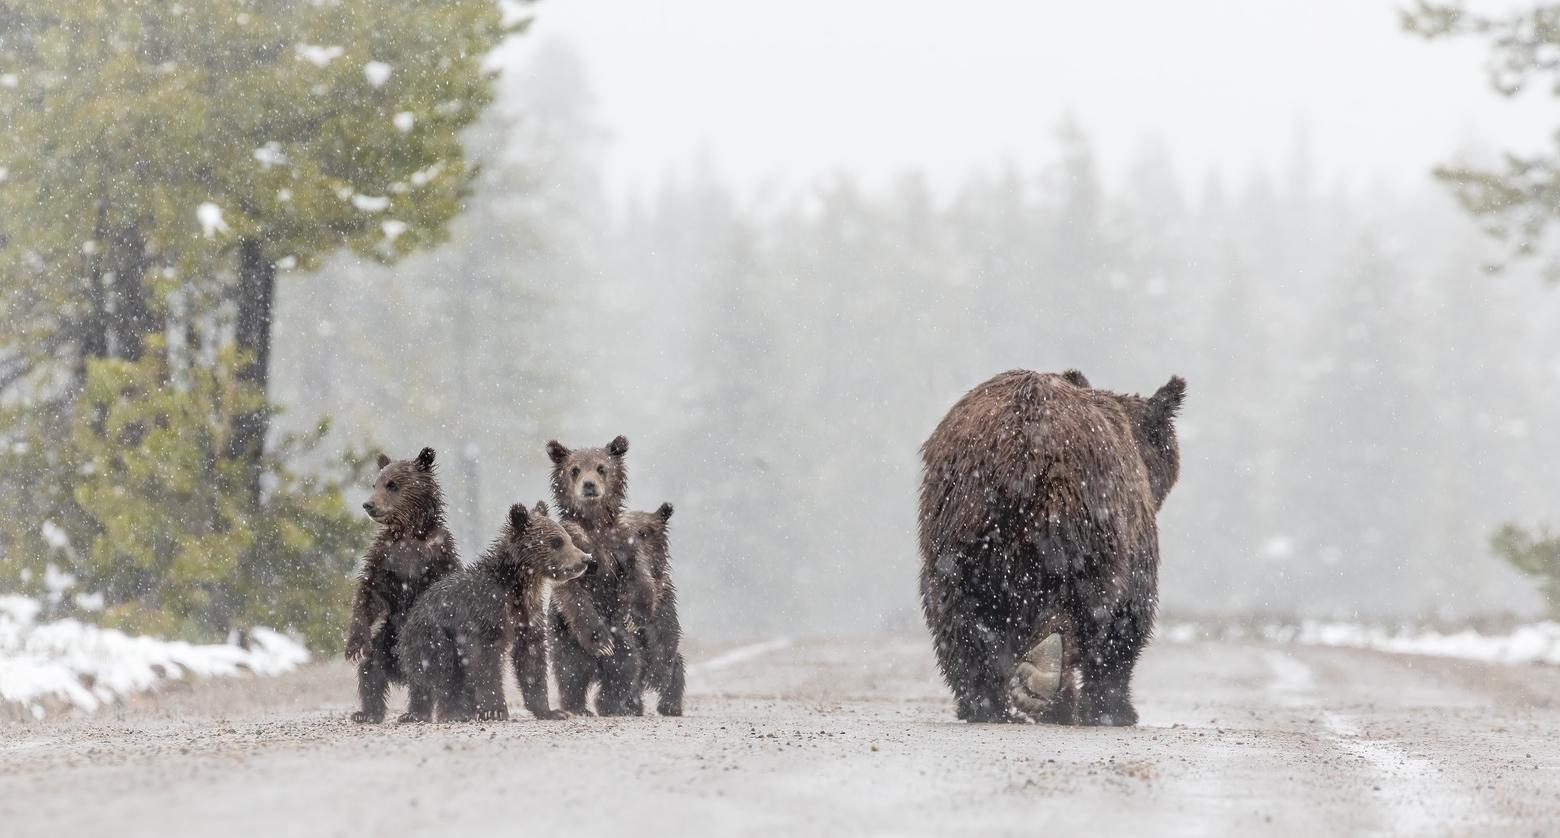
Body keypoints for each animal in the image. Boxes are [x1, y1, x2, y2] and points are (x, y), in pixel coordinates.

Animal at [346, 446, 455, 720]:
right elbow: (368, 595)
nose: (368, 504)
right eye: (375, 483)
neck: (409, 532)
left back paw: (415, 713)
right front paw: (354, 647)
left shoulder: (438, 556)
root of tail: (398, 672)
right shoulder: (384, 558)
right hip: (383, 640)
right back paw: (367, 713)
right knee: (370, 672)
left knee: (423, 678)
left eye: (392, 484)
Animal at [396, 499, 589, 720]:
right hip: (432, 637)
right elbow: (485, 661)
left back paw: (417, 713)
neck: (518, 587)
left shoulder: (528, 615)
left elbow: (531, 658)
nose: (585, 559)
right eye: (557, 542)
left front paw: (552, 711)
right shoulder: (486, 613)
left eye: (568, 538)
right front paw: (495, 709)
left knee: (423, 684)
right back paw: (455, 711)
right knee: (444, 672)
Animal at [911, 369, 1179, 720]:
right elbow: (1127, 617)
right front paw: (1114, 710)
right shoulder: (1134, 532)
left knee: (956, 611)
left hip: (960, 524)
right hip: (1081, 518)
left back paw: (988, 705)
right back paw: (1046, 682)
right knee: (1079, 603)